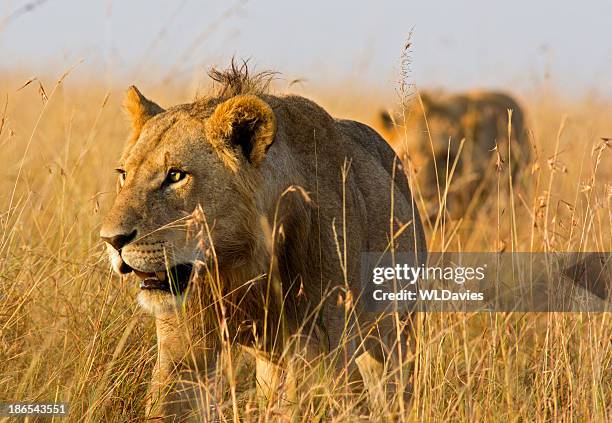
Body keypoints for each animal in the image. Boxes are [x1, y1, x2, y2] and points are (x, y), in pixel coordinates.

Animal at [100, 61, 426, 422]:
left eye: (175, 175)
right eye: (123, 174)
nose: (111, 240)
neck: (238, 264)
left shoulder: (323, 351)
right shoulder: (183, 351)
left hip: (394, 334)